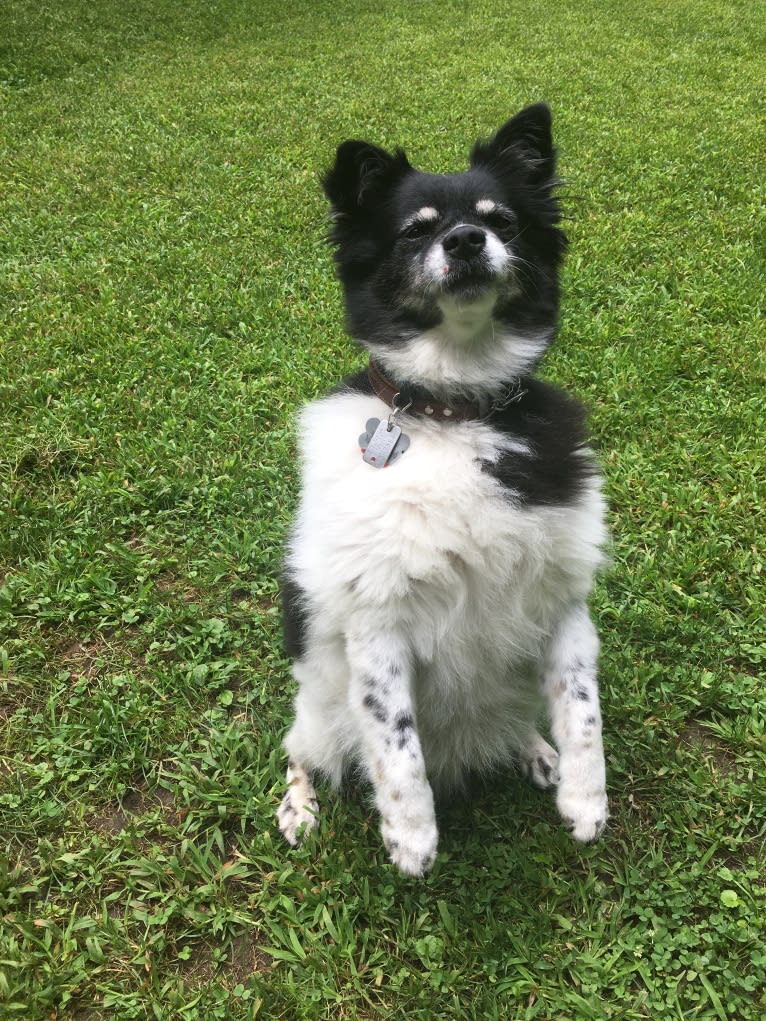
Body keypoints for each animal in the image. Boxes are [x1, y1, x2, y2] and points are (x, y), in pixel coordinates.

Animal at [279, 105, 608, 878]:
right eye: (415, 230)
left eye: (502, 221)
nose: (465, 240)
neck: (453, 410)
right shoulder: (377, 623)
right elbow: (397, 746)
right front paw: (411, 837)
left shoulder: (563, 600)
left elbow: (583, 710)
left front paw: (586, 800)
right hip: (315, 710)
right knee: (299, 752)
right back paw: (298, 808)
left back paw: (536, 751)